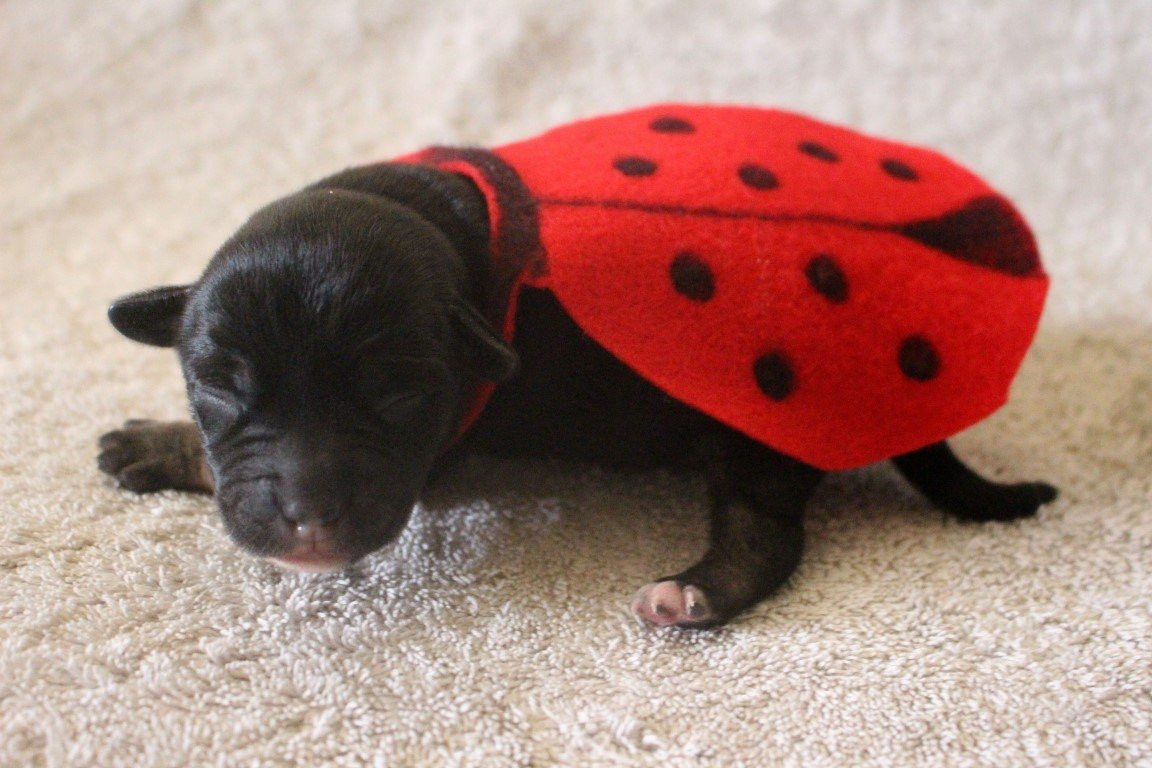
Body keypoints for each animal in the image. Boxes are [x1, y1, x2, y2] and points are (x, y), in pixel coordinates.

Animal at [103, 157, 1055, 630]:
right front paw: (160, 436)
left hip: (762, 430)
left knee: (768, 535)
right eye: (217, 385)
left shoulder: (438, 452)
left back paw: (694, 593)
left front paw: (152, 445)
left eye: (400, 395)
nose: (308, 522)